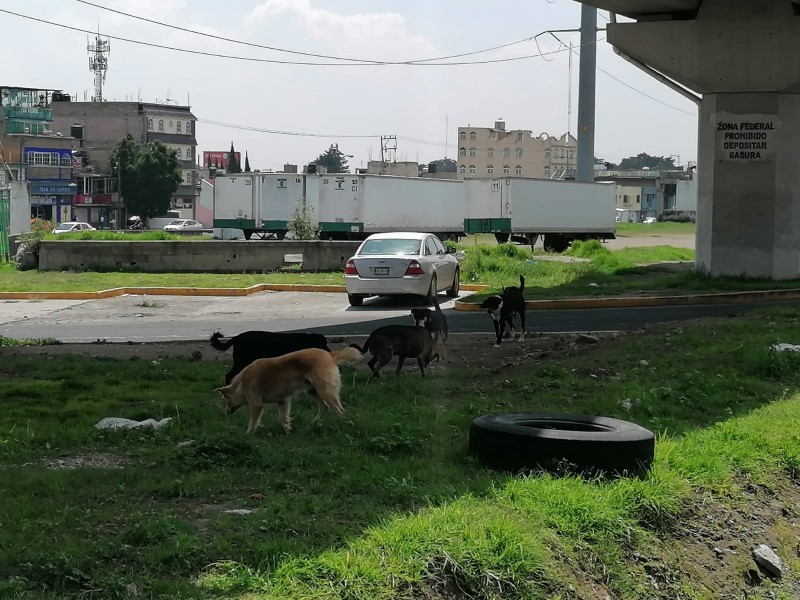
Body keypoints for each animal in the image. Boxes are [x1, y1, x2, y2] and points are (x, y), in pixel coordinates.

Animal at [214, 344, 360, 434]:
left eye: (225, 400)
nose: (226, 413)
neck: (241, 384)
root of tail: (330, 355)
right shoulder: (283, 401)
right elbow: (282, 419)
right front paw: (287, 430)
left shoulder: (256, 405)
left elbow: (253, 422)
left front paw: (248, 434)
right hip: (312, 391)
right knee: (324, 407)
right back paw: (314, 424)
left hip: (325, 391)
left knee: (340, 410)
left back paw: (344, 423)